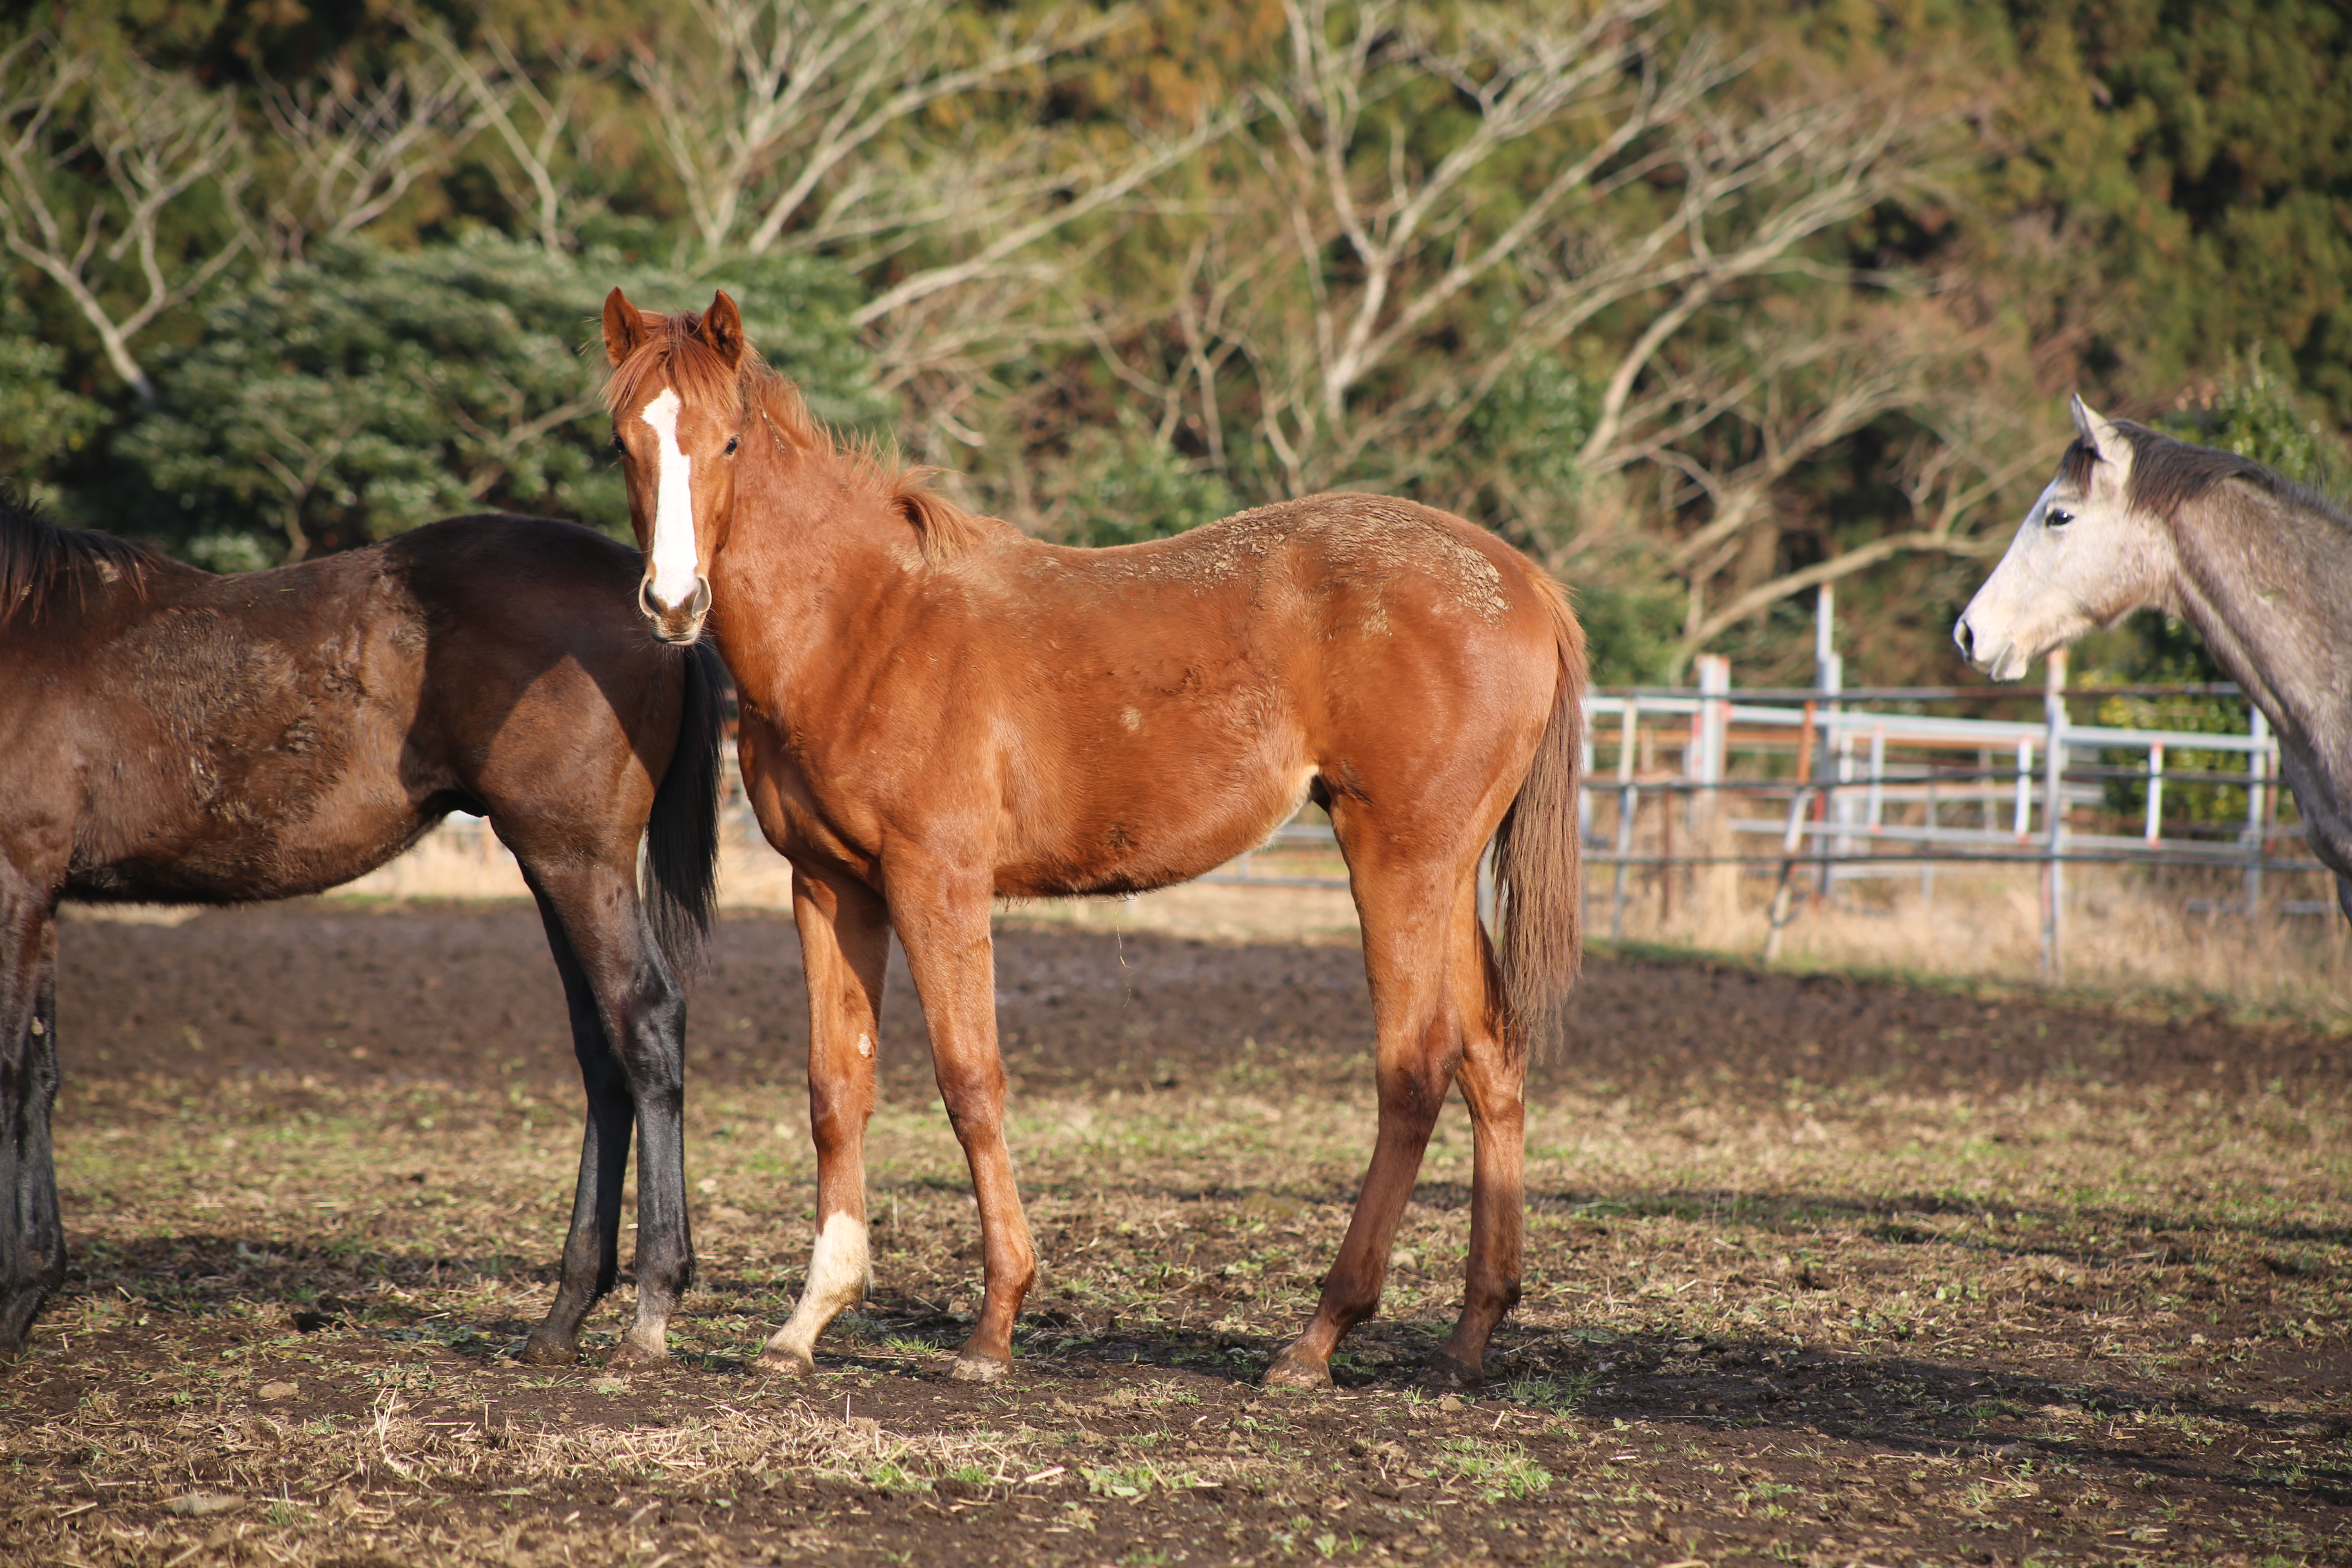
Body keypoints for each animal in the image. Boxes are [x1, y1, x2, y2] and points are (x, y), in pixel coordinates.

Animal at [0, 496, 724, 1363]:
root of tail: (663, 609)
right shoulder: (43, 892)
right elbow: (39, 1077)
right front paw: (34, 1284)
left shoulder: (16, 878)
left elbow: (8, 1075)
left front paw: (13, 1295)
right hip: (555, 864)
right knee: (602, 1049)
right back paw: (564, 1313)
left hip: (577, 858)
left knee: (645, 1019)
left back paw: (652, 1303)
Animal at [597, 288, 1590, 1392]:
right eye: (623, 443)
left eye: (727, 440)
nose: (672, 604)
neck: (864, 625)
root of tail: (1521, 580)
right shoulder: (828, 888)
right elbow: (836, 1088)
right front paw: (808, 1320)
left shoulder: (936, 882)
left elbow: (969, 1081)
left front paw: (993, 1327)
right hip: (1443, 871)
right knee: (1489, 1056)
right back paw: (1467, 1337)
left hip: (1397, 863)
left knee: (1413, 1071)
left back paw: (1317, 1337)